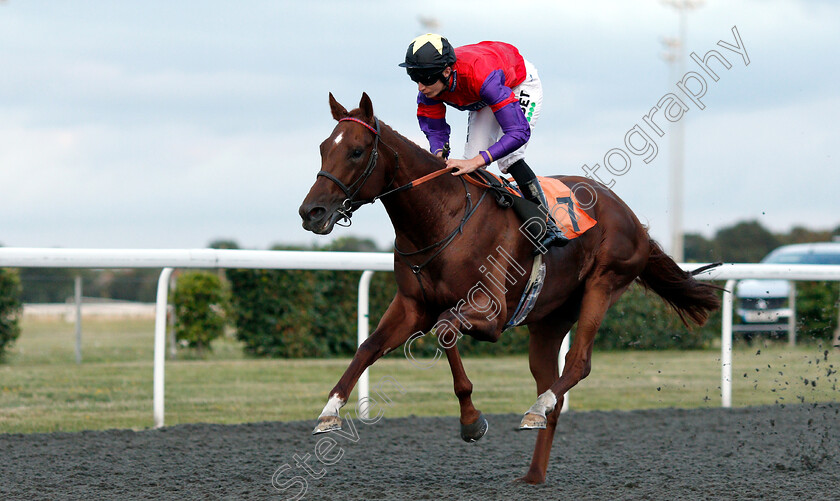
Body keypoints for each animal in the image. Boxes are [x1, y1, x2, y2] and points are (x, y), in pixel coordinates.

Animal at [298, 94, 720, 484]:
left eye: (356, 151)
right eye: (322, 147)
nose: (311, 213)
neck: (441, 217)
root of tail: (634, 219)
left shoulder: (492, 313)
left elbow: (445, 329)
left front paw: (471, 421)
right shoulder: (412, 305)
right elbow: (369, 347)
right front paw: (329, 411)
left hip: (603, 284)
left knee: (577, 364)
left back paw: (537, 408)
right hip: (549, 320)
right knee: (553, 388)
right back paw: (533, 471)